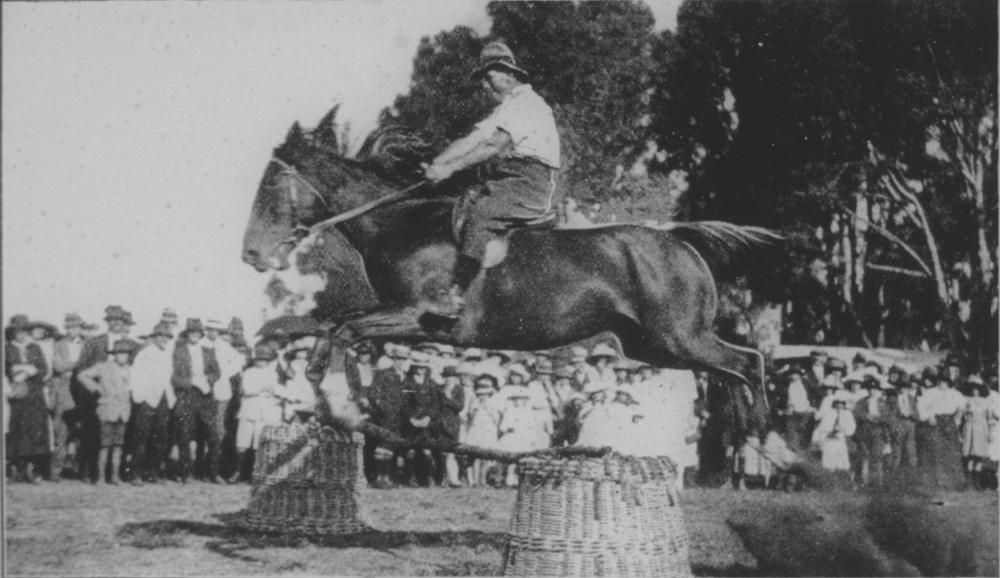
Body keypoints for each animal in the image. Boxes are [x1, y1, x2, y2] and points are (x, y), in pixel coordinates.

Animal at [242, 108, 780, 426]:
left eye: (270, 186)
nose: (251, 255)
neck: (400, 222)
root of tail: (677, 239)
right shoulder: (395, 314)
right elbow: (332, 324)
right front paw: (320, 383)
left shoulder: (417, 315)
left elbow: (345, 330)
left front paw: (344, 405)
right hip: (652, 345)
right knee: (731, 371)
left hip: (679, 337)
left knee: (748, 363)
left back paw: (770, 442)